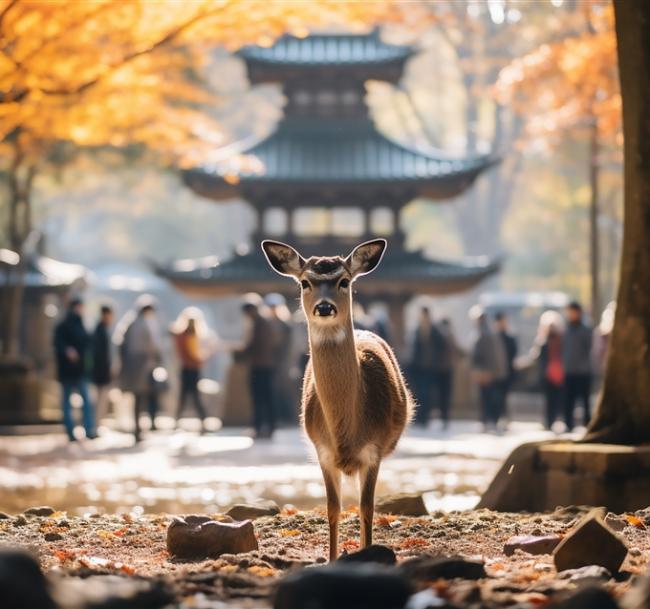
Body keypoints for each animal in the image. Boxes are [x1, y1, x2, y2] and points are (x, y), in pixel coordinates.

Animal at [258, 239, 410, 560]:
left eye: (344, 281)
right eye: (305, 282)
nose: (325, 307)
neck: (346, 432)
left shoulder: (374, 450)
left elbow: (367, 508)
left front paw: (367, 553)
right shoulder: (322, 451)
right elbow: (332, 509)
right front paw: (331, 558)